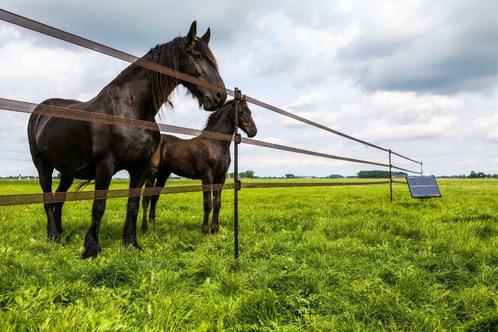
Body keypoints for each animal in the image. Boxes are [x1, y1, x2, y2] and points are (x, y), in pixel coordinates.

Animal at [28, 21, 227, 260]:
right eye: (197, 56)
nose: (220, 97)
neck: (128, 110)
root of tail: (40, 111)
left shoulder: (139, 168)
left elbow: (133, 205)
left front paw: (131, 243)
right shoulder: (105, 166)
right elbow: (99, 206)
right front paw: (91, 248)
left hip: (67, 171)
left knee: (59, 198)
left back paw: (60, 233)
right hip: (43, 166)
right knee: (48, 198)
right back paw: (53, 236)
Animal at [141, 100, 255, 232]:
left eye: (250, 111)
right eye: (241, 112)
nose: (253, 131)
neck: (214, 144)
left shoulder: (220, 178)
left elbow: (217, 203)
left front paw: (215, 229)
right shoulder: (207, 178)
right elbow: (208, 203)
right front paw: (204, 229)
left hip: (163, 175)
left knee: (154, 197)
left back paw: (152, 223)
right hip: (152, 174)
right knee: (146, 199)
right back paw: (144, 227)